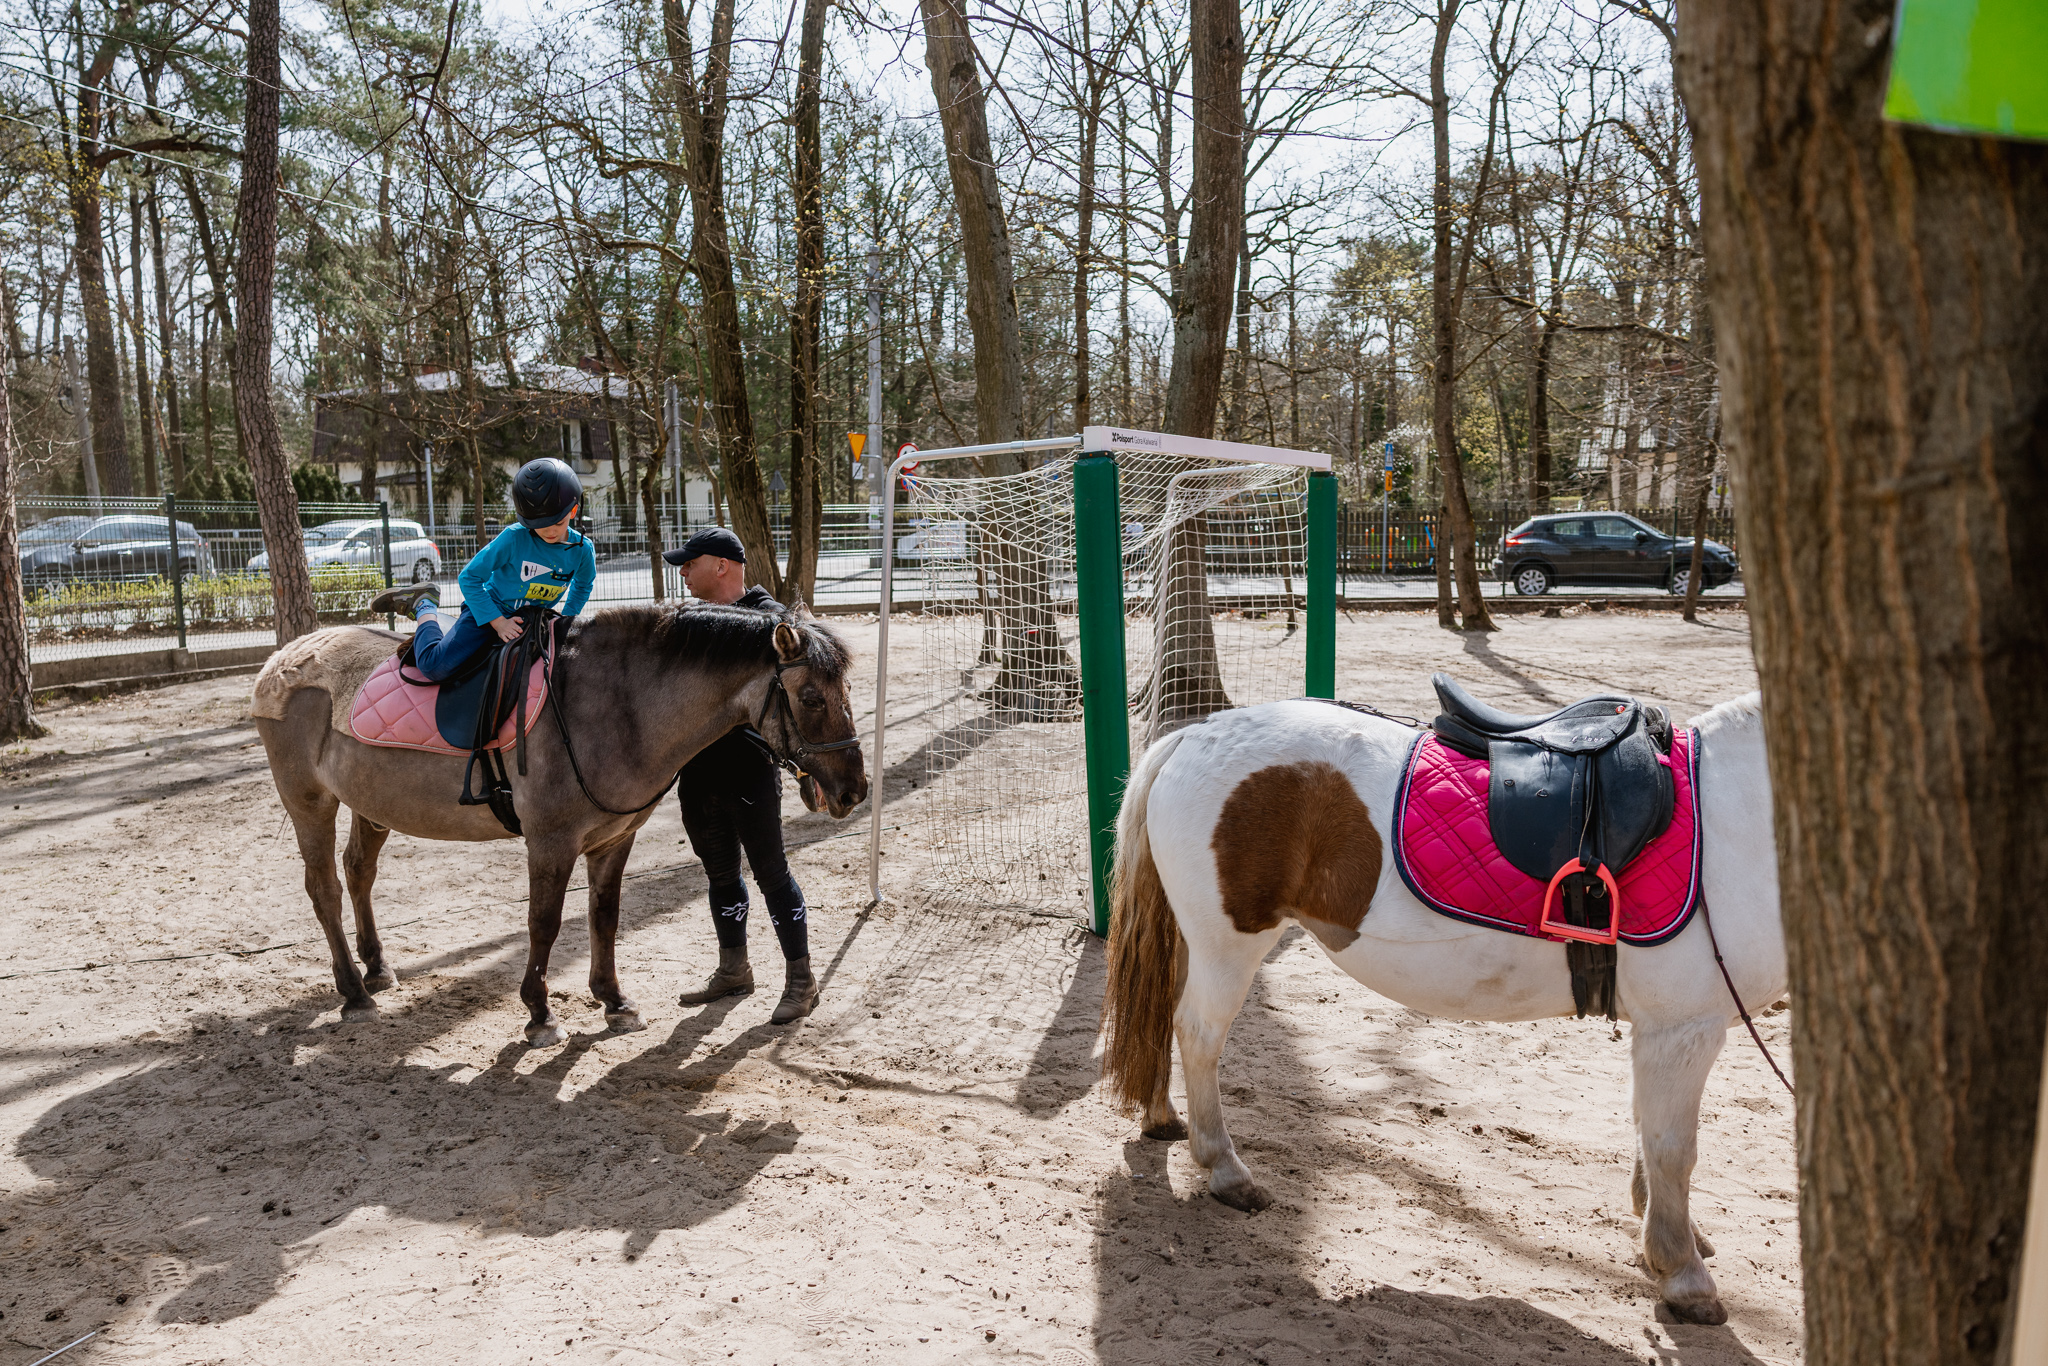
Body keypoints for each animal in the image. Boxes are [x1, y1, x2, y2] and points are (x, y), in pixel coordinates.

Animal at [250, 603, 867, 1045]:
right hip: (309, 801)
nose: (853, 791)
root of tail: (287, 657)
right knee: (324, 888)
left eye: (845, 690)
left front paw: (614, 1001)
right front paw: (540, 1013)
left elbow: (604, 917)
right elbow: (544, 923)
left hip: (369, 804)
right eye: (810, 697)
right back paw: (355, 993)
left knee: (358, 872)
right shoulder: (551, 843)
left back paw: (377, 967)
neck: (616, 707)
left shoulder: (614, 840)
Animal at [1100, 691, 1783, 1325]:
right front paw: (1682, 1274)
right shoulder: (1683, 1029)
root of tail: (1197, 734)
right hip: (1229, 947)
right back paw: (1224, 1169)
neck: (1736, 814)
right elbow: (1673, 1147)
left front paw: (1665, 1233)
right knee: (1198, 1034)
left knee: (1163, 1015)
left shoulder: (1660, 1031)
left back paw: (1163, 1116)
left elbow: (1646, 1129)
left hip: (1194, 942)